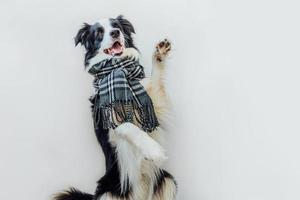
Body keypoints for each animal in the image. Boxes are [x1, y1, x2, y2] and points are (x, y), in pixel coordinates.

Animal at [54, 15, 176, 200]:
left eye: (116, 25)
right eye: (99, 32)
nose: (115, 32)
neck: (120, 69)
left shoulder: (153, 104)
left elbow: (156, 81)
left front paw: (160, 53)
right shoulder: (108, 119)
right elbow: (128, 126)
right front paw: (153, 150)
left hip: (168, 181)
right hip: (107, 191)